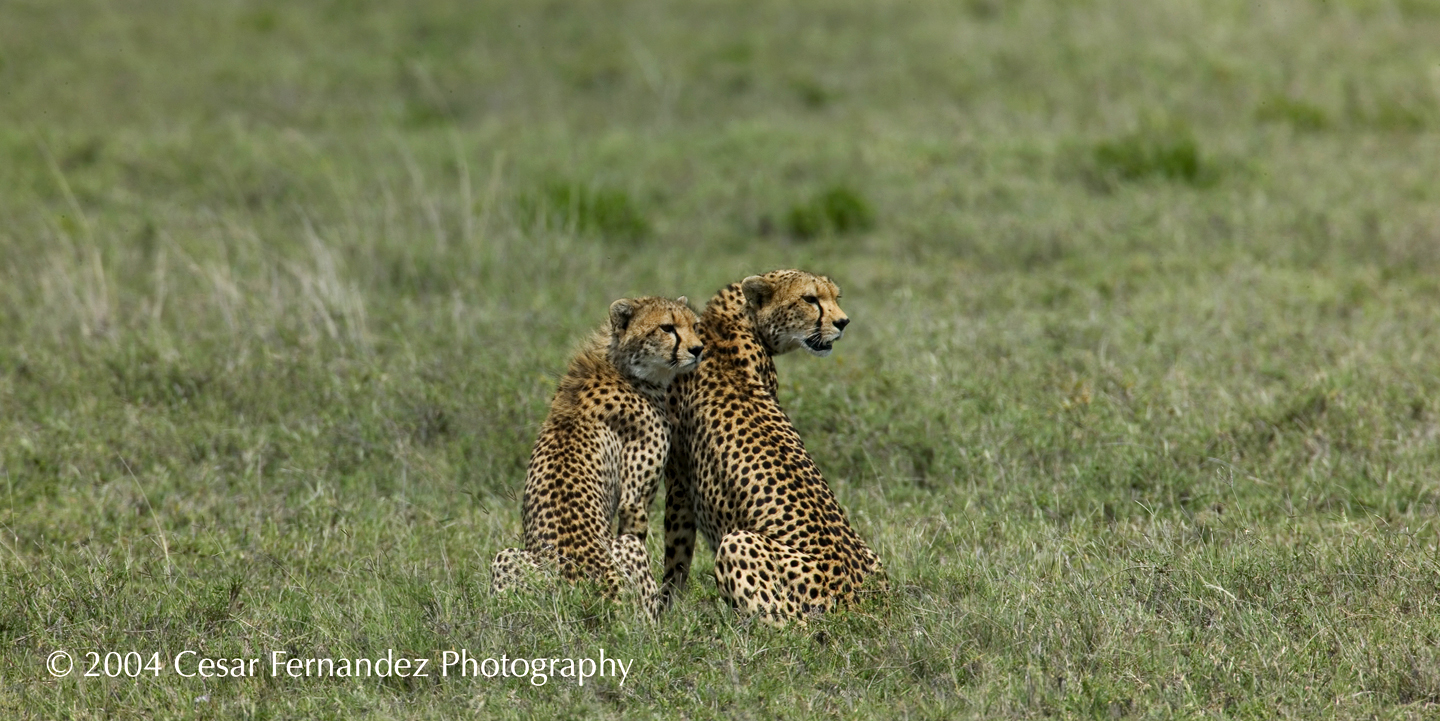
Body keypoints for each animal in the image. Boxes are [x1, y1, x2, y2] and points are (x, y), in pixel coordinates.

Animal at [489, 293, 702, 618]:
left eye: (694, 325)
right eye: (667, 327)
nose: (698, 349)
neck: (620, 366)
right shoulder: (634, 502)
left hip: (506, 557)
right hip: (624, 556)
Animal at [665, 267, 887, 621]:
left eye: (835, 297)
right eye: (810, 298)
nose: (843, 322)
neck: (730, 321)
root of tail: (859, 600)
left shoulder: (678, 484)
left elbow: (675, 560)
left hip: (739, 542)